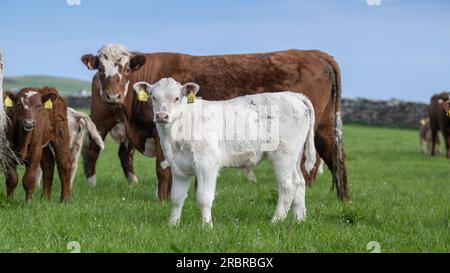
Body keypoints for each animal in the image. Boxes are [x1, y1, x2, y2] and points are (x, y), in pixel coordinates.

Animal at [81, 44, 352, 201]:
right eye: (101, 69)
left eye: (126, 69)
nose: (112, 96)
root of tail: (317, 54)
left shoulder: (161, 133)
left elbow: (162, 168)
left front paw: (162, 199)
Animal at [134, 77, 316, 226]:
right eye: (154, 97)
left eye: (177, 98)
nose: (161, 116)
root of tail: (293, 95)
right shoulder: (178, 166)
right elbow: (176, 198)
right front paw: (173, 225)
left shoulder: (206, 164)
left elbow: (204, 198)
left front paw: (207, 227)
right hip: (295, 156)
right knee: (300, 182)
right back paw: (299, 220)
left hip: (283, 155)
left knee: (288, 185)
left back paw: (275, 221)